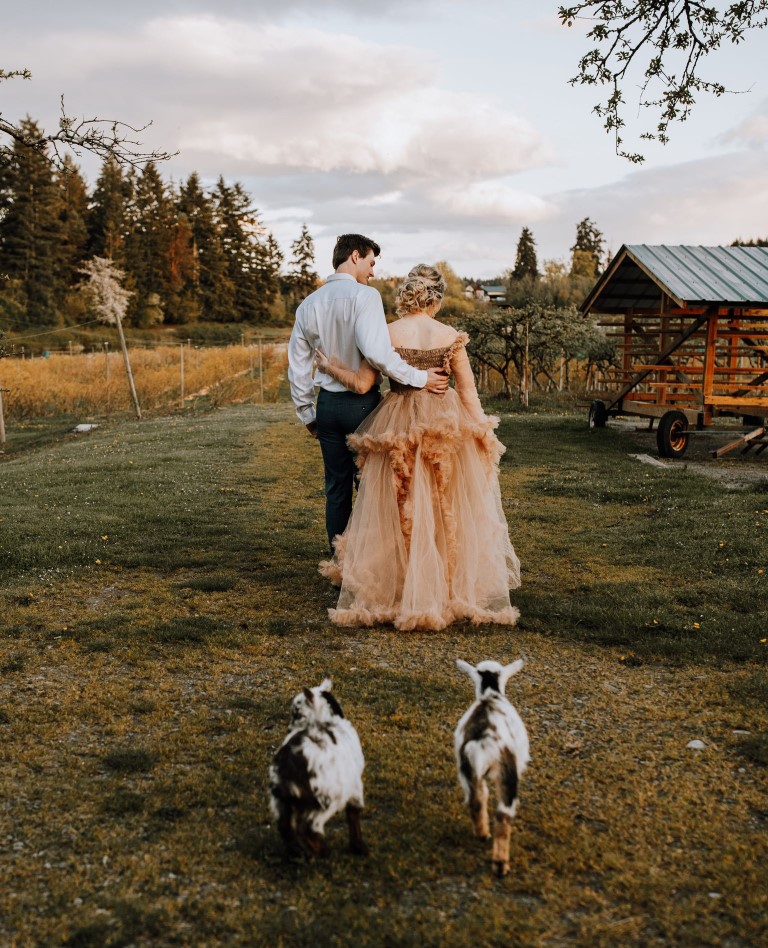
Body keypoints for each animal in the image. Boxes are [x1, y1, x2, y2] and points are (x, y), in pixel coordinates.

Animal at [268, 672, 368, 860]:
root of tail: (289, 768)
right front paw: (359, 847)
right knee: (308, 828)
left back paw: (298, 854)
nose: (288, 729)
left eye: (297, 714)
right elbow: (353, 814)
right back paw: (321, 852)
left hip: (281, 802)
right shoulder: (354, 786)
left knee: (285, 827)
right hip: (323, 800)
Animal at [452, 660, 532, 872]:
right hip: (508, 775)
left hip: (468, 771)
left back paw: (482, 835)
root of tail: (483, 738)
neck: (491, 693)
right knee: (503, 816)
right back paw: (500, 865)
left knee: (476, 801)